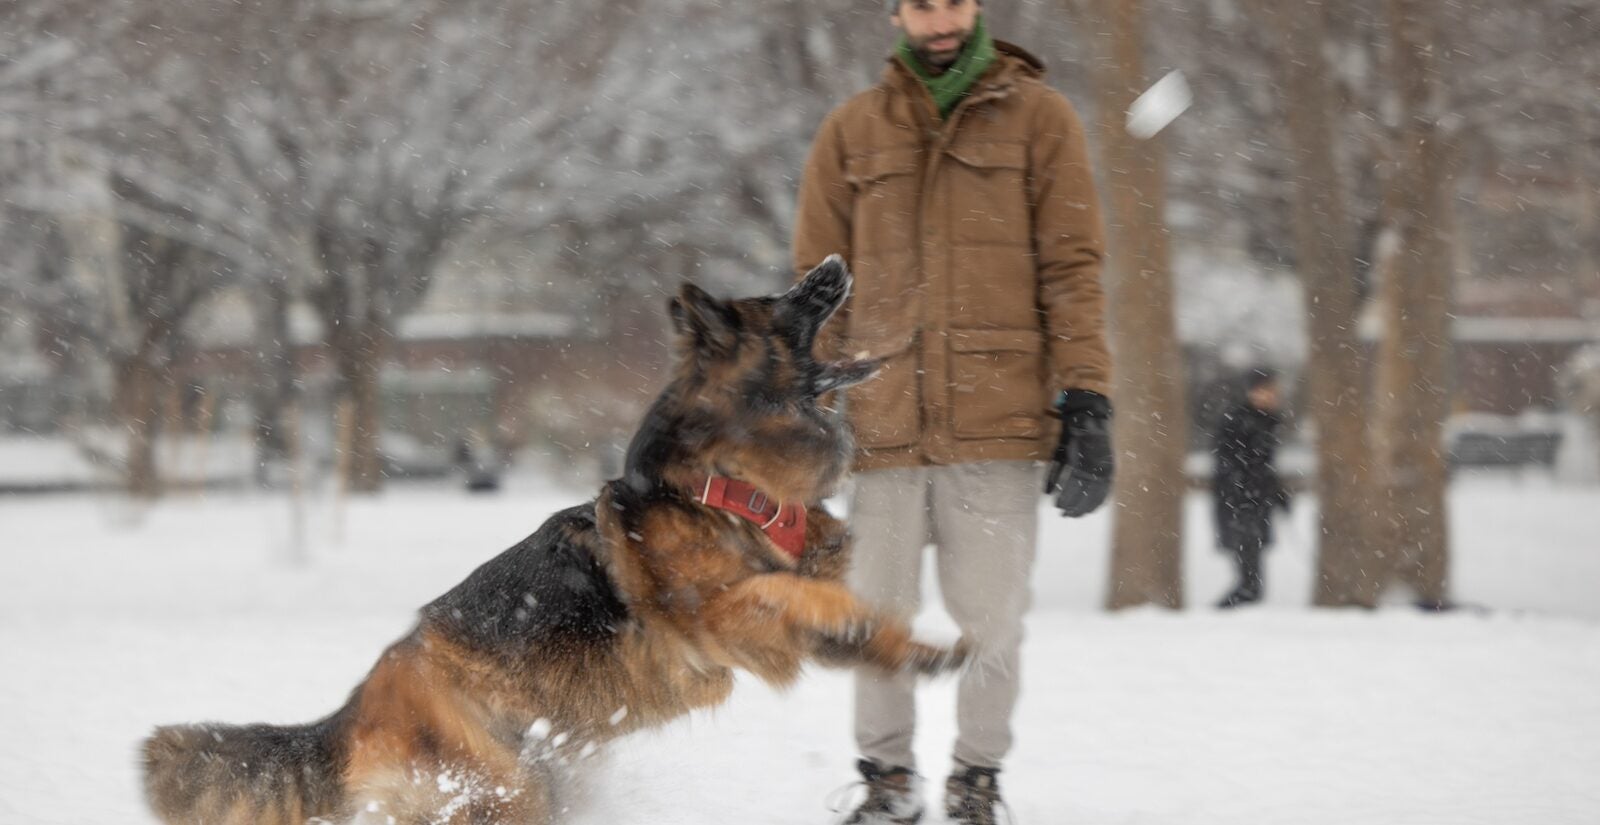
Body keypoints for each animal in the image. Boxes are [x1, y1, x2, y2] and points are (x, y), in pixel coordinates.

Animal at [144, 254, 960, 818]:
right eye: (780, 303)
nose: (833, 263)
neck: (725, 480)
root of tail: (352, 706)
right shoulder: (720, 616)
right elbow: (795, 592)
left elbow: (840, 599)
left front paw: (912, 648)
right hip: (503, 790)